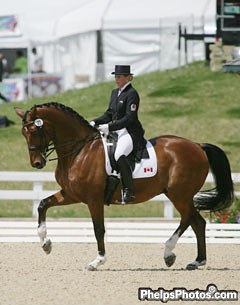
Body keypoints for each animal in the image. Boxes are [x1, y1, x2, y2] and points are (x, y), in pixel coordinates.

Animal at [14, 102, 232, 270]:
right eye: (23, 132)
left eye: (34, 130)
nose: (37, 163)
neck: (79, 150)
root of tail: (197, 145)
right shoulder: (71, 194)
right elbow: (42, 205)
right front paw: (46, 244)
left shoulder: (93, 199)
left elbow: (98, 229)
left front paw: (97, 261)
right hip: (180, 195)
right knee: (198, 223)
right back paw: (197, 261)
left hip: (180, 194)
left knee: (189, 219)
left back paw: (169, 253)